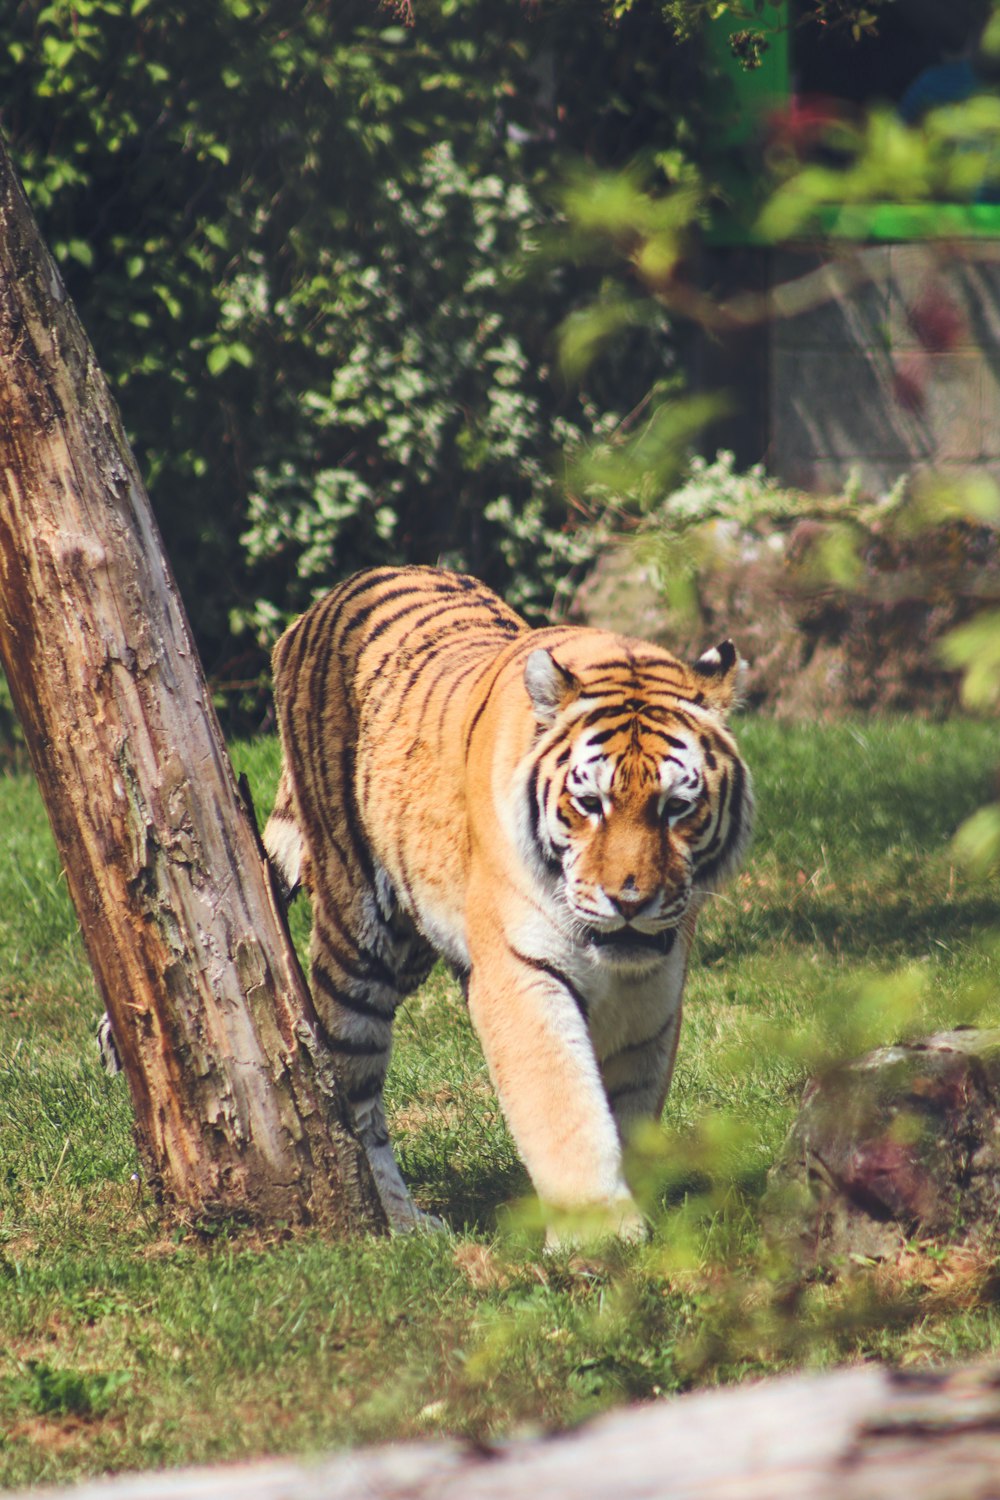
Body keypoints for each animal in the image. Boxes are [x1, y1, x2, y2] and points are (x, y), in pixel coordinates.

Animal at [263, 564, 749, 1242]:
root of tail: (325, 601)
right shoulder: (523, 970)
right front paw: (597, 1231)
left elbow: (632, 1104)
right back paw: (400, 1222)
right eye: (591, 803)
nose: (629, 900)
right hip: (363, 936)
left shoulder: (654, 987)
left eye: (676, 807)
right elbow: (562, 1103)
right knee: (353, 1089)